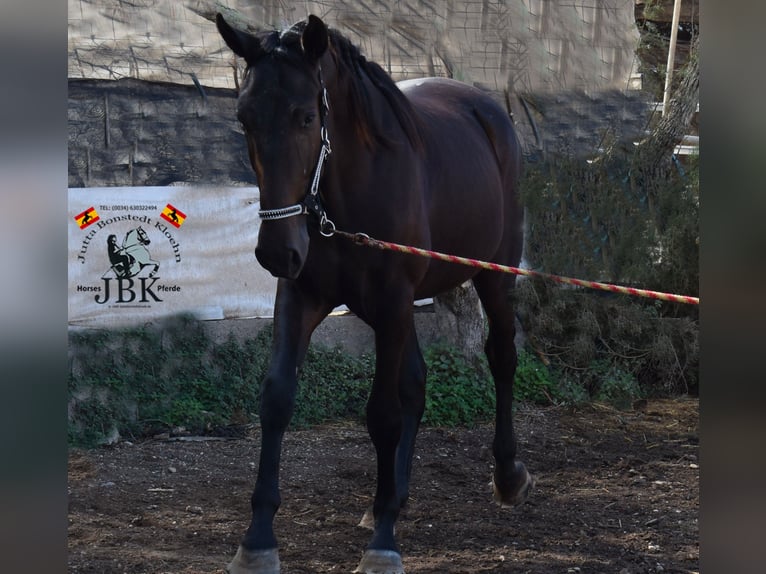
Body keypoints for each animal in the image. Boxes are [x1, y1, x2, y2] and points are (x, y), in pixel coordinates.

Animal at [216, 13, 536, 574]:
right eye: (245, 119)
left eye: (306, 117)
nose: (277, 250)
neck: (350, 192)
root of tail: (488, 107)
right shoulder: (302, 298)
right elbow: (277, 399)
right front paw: (257, 540)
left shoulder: (391, 303)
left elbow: (383, 415)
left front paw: (383, 544)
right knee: (416, 382)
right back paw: (394, 496)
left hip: (493, 276)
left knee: (501, 357)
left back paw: (505, 474)